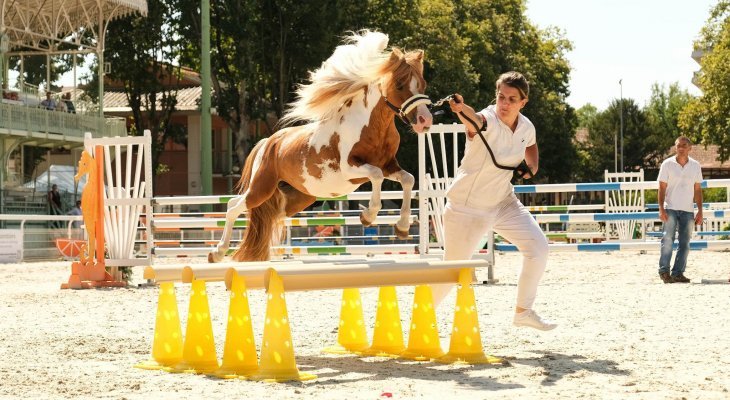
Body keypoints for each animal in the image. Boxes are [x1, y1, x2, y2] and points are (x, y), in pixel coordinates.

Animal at [208, 30, 430, 262]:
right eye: (400, 85)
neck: (371, 126)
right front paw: (368, 216)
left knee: (270, 216)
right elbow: (376, 176)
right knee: (233, 206)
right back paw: (217, 252)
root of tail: (267, 143)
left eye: (423, 84)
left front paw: (402, 227)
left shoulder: (389, 166)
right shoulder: (351, 168)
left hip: (297, 198)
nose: (425, 120)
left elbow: (408, 179)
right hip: (261, 188)